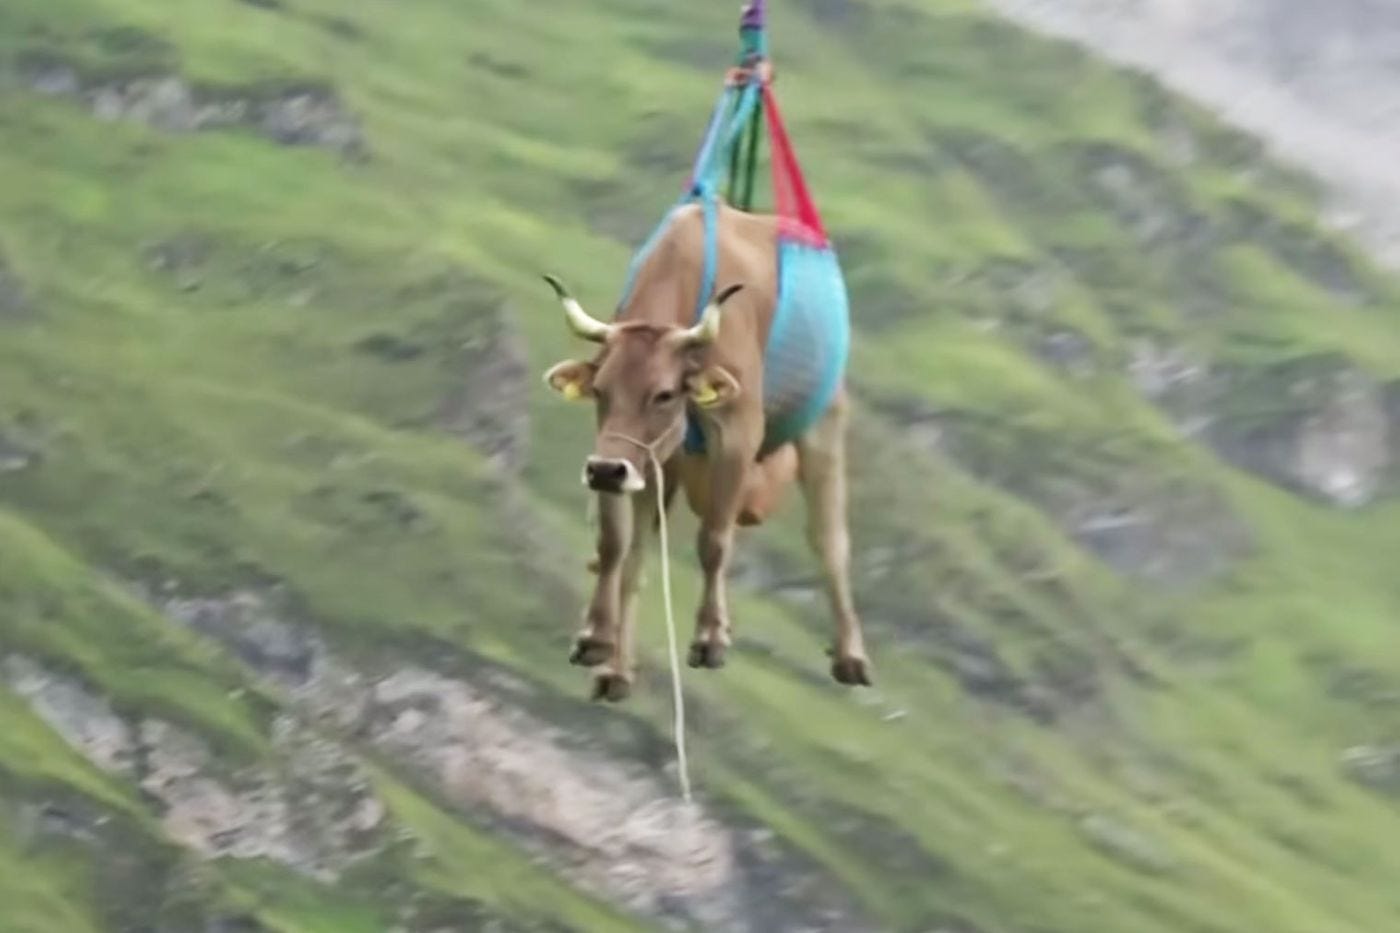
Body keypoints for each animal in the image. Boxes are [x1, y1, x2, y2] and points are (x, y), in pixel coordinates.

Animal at [541, 199, 872, 701]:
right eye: (599, 390)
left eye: (663, 394)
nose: (604, 471)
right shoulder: (628, 456)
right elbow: (616, 544)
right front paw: (596, 640)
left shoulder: (736, 433)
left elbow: (714, 540)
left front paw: (711, 637)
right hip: (664, 467)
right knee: (639, 553)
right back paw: (617, 671)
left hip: (824, 423)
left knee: (830, 540)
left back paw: (851, 655)